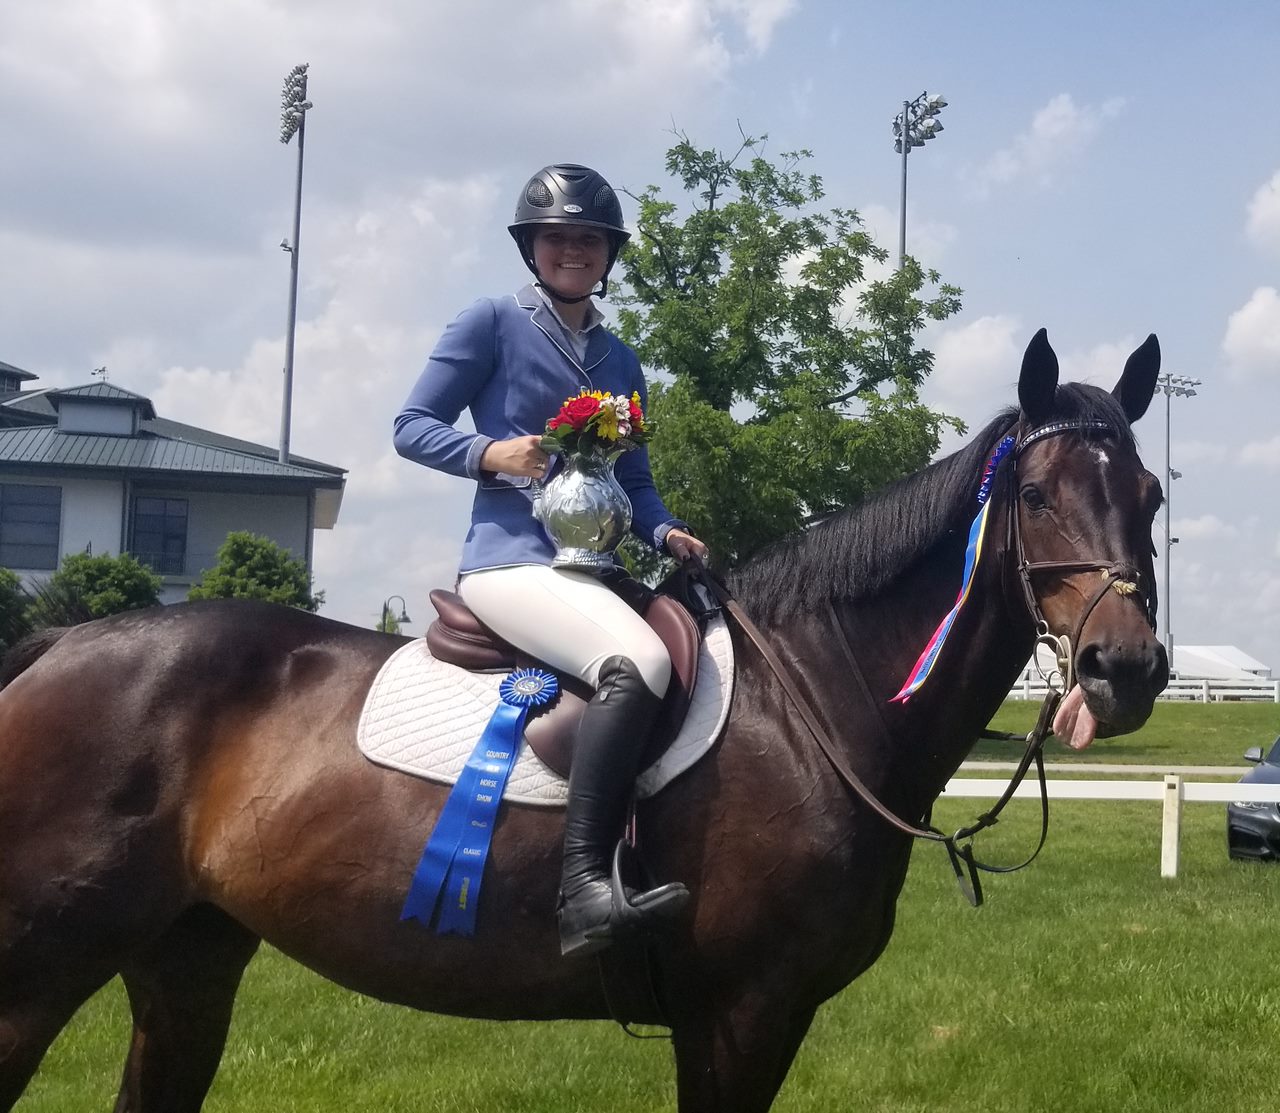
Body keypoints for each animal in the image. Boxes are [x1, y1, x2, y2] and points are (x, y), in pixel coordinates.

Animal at [0, 332, 1172, 1113]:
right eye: (1034, 495)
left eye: (1152, 497)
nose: (1124, 669)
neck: (813, 702)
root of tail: (57, 643)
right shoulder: (743, 1012)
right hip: (37, 972)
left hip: (185, 958)